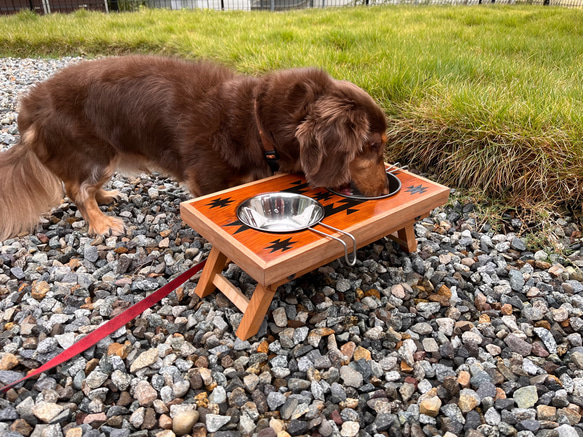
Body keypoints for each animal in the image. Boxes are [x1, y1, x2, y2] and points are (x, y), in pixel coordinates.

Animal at [1, 55, 392, 240]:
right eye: (372, 146)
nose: (383, 191)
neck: (257, 120)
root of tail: (29, 108)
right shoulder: (208, 180)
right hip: (96, 154)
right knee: (76, 190)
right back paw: (101, 222)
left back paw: (107, 197)